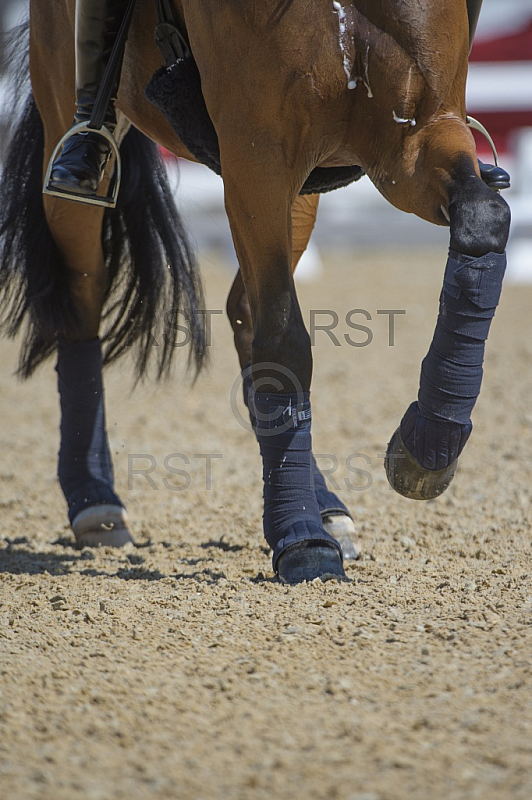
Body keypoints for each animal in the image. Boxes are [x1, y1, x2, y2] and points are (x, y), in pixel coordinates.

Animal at [2, 3, 512, 584]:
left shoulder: (415, 137)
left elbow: (482, 216)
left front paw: (427, 446)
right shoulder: (258, 156)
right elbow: (285, 342)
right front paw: (303, 541)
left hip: (307, 188)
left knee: (243, 313)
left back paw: (329, 507)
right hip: (69, 124)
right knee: (81, 305)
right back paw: (95, 503)